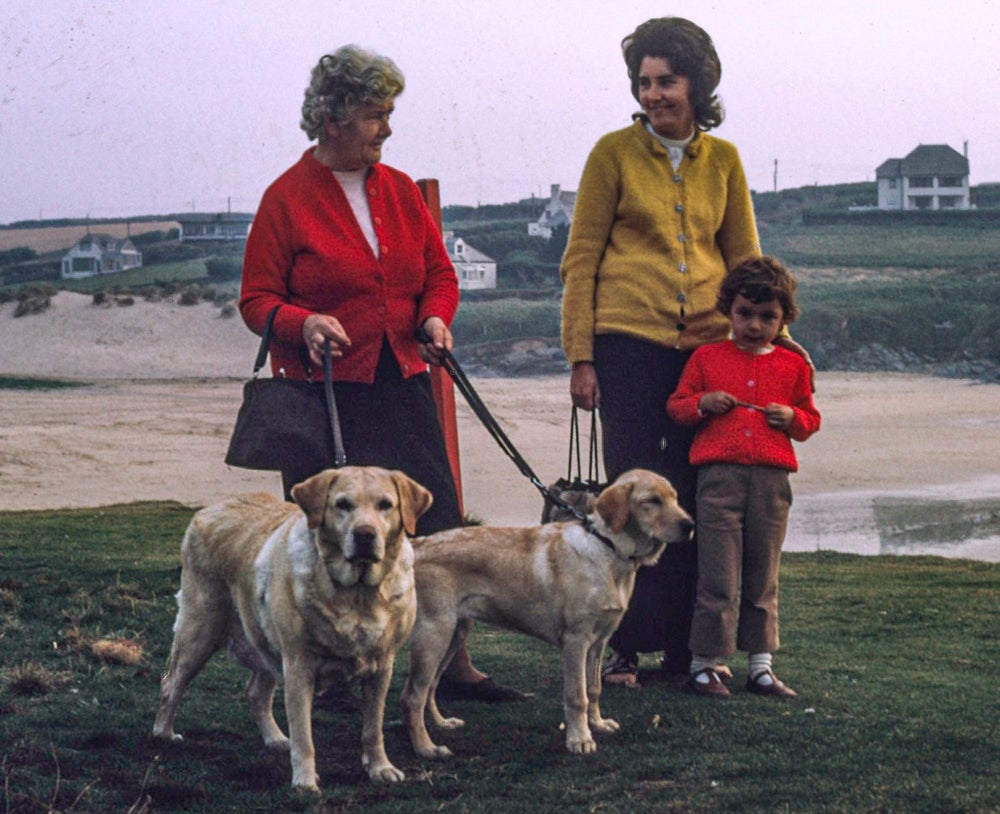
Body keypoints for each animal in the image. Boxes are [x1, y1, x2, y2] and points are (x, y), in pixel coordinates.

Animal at [152, 468, 430, 792]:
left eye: (385, 505)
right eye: (342, 504)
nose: (365, 534)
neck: (357, 593)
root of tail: (210, 509)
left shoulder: (382, 666)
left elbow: (373, 728)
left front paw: (380, 768)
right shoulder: (299, 665)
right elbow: (304, 736)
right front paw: (305, 783)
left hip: (263, 642)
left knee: (255, 693)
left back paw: (275, 739)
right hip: (200, 630)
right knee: (171, 684)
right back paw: (164, 734)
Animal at [402, 468, 692, 760]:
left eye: (675, 498)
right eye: (651, 501)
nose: (689, 525)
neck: (608, 549)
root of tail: (418, 545)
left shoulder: (598, 642)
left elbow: (594, 689)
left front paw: (598, 724)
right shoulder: (576, 641)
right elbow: (577, 696)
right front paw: (580, 739)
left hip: (455, 634)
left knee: (431, 686)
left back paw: (441, 723)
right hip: (434, 634)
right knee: (412, 695)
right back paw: (425, 747)